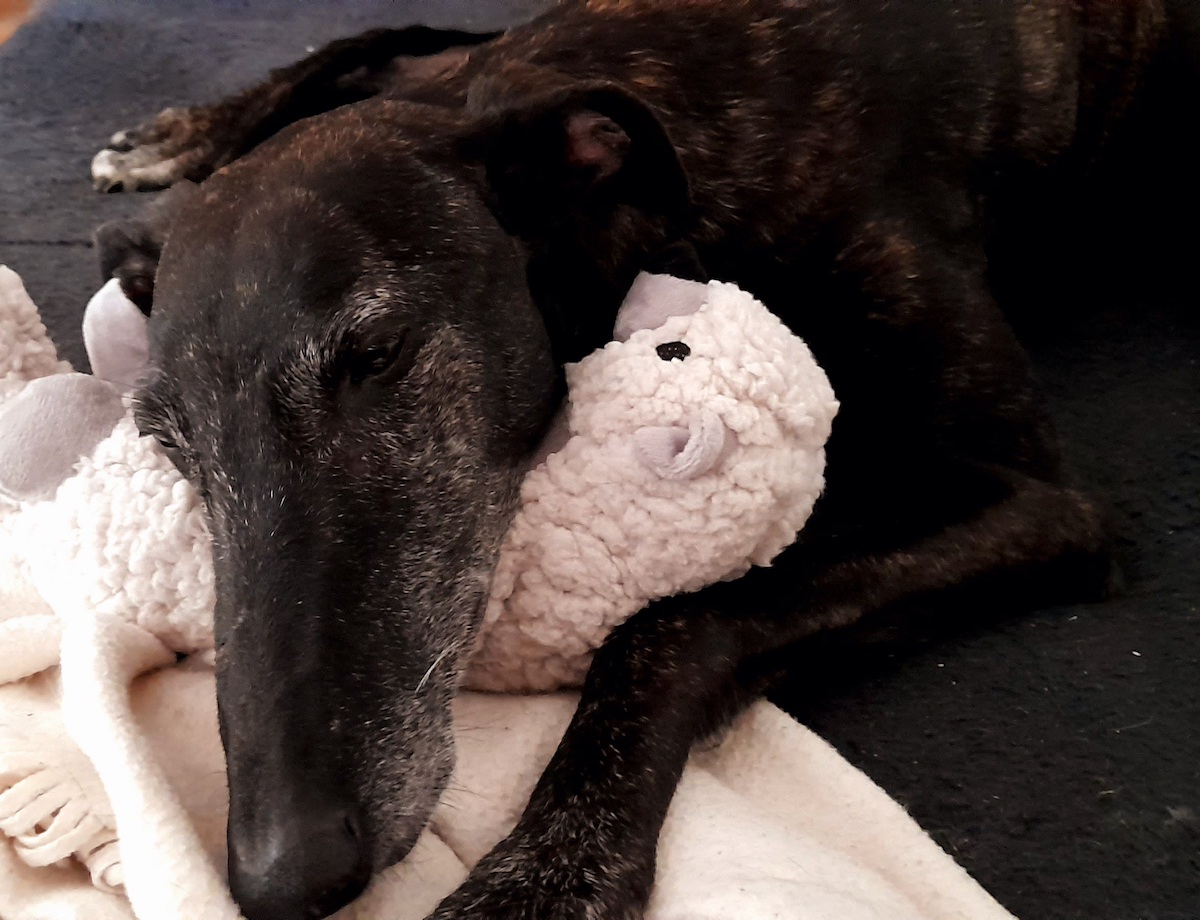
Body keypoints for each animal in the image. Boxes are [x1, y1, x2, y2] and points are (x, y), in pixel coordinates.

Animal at [89, 2, 1198, 918]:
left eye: (378, 353)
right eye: (166, 438)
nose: (281, 878)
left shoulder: (1038, 501)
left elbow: (670, 625)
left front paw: (546, 868)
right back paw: (182, 138)